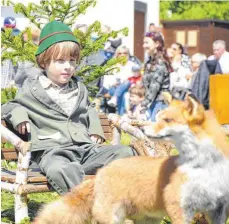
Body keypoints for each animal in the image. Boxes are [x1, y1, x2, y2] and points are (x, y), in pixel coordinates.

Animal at [33, 93, 228, 224]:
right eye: (158, 117)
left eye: (167, 120)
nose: (143, 129)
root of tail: (99, 172)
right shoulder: (179, 209)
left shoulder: (217, 211)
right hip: (111, 218)